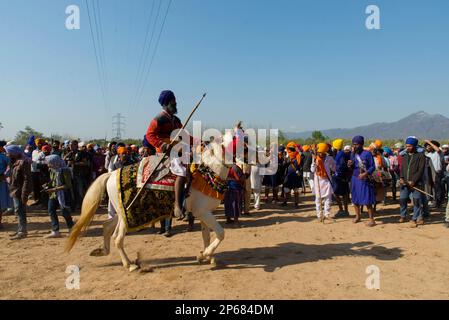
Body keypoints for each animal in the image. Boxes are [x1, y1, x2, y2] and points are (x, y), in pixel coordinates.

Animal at [65, 169, 226, 272]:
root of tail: (110, 174)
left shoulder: (204, 213)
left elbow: (206, 236)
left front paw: (208, 257)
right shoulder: (203, 212)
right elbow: (220, 233)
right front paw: (204, 255)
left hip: (121, 213)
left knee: (107, 226)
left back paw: (102, 251)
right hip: (126, 215)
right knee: (117, 238)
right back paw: (129, 265)